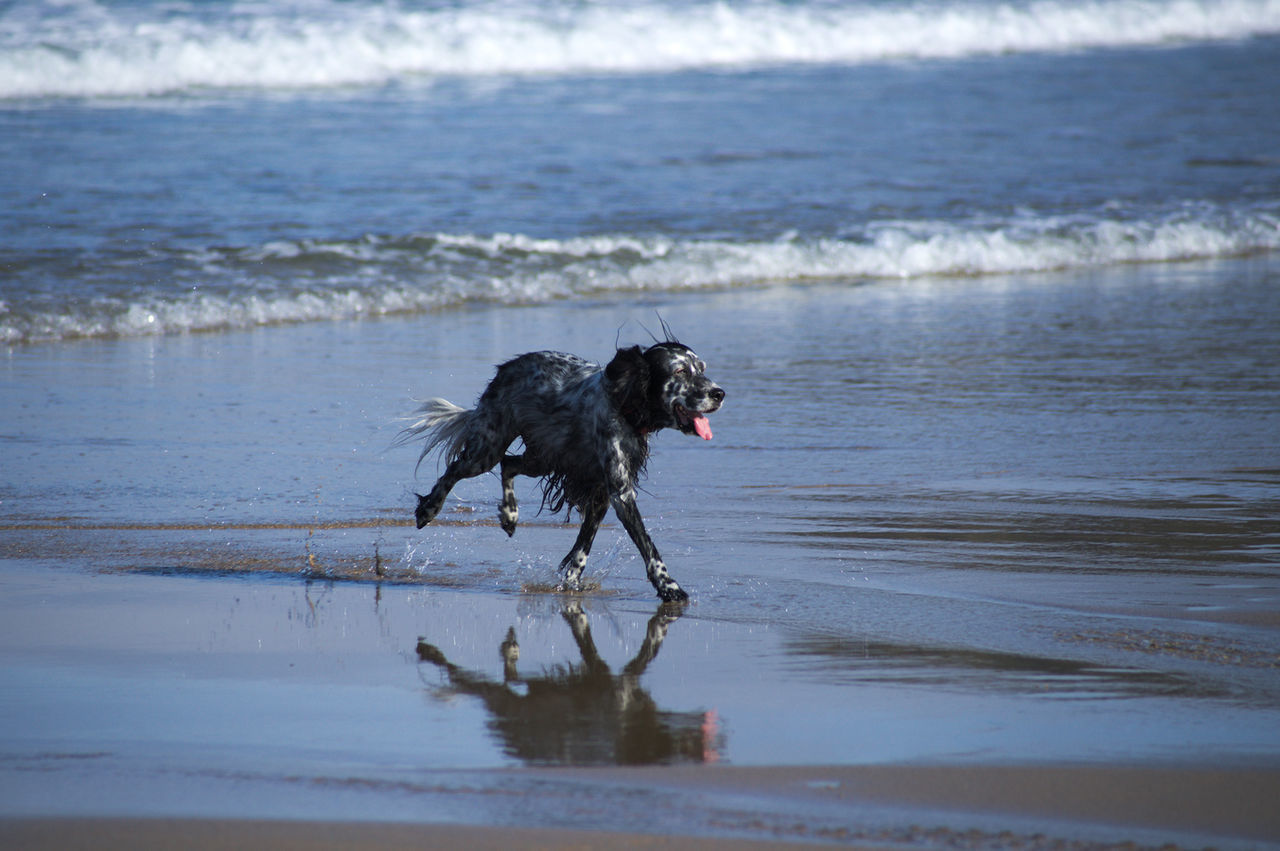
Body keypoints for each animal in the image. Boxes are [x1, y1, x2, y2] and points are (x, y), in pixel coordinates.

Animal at [394, 335, 727, 601]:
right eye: (680, 371)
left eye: (702, 369)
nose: (719, 393)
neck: (624, 403)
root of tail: (506, 368)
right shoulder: (620, 493)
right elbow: (647, 545)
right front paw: (668, 586)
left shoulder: (601, 492)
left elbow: (582, 547)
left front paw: (570, 582)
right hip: (487, 448)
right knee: (454, 471)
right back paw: (429, 510)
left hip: (542, 458)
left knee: (508, 464)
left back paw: (510, 514)